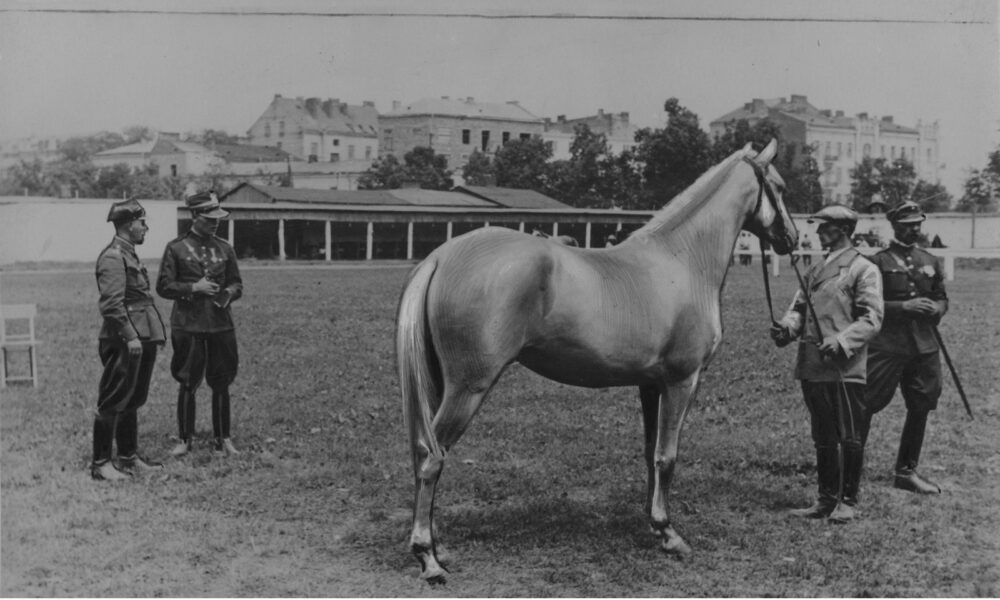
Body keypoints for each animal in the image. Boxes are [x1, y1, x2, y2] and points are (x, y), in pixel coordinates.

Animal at [396, 139, 796, 580]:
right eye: (779, 186)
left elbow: (650, 453)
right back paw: (428, 557)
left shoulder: (650, 385)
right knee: (432, 456)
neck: (681, 260)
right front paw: (670, 534)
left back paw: (438, 546)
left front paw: (654, 524)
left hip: (442, 384)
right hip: (468, 388)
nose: (792, 239)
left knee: (422, 453)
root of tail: (443, 256)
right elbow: (668, 456)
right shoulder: (682, 381)